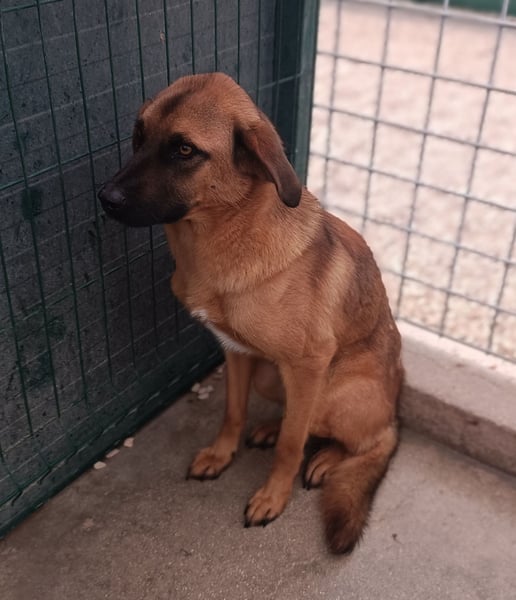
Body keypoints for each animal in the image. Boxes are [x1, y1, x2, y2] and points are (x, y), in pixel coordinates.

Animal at [98, 73, 403, 554]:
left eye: (184, 150)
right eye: (138, 136)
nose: (105, 198)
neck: (220, 241)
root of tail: (395, 401)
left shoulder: (310, 363)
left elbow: (293, 445)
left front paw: (273, 496)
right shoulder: (236, 351)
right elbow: (233, 412)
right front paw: (222, 455)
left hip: (337, 390)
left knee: (372, 439)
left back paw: (328, 458)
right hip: (269, 376)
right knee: (299, 417)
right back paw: (272, 427)